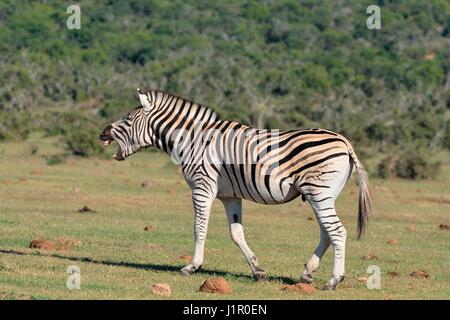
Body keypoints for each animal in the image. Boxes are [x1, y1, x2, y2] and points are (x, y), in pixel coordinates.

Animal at [100, 87, 370, 290]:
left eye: (127, 119)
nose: (102, 133)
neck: (193, 140)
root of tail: (345, 142)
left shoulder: (202, 188)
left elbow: (199, 228)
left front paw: (191, 266)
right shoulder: (230, 196)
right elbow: (236, 233)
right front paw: (257, 270)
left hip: (318, 192)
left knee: (337, 232)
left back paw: (333, 280)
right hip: (321, 194)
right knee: (327, 232)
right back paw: (307, 273)